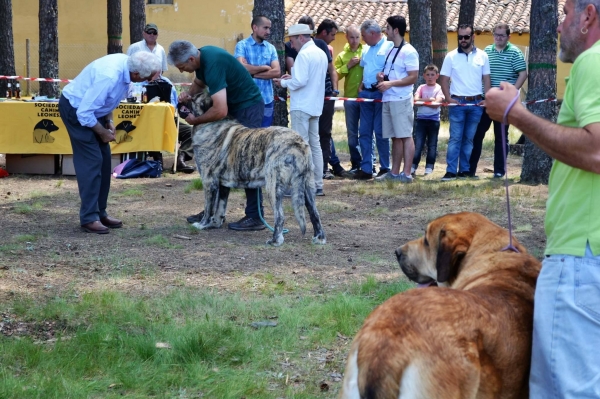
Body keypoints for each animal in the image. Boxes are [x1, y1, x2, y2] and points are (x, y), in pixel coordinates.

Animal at [186, 92, 326, 247]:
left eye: (192, 99)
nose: (181, 99)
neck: (212, 124)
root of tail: (298, 143)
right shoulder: (222, 185)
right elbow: (220, 208)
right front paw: (214, 224)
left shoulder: (209, 182)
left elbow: (209, 208)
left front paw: (202, 224)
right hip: (307, 186)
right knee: (315, 213)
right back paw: (319, 238)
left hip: (273, 186)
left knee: (280, 216)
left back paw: (275, 240)